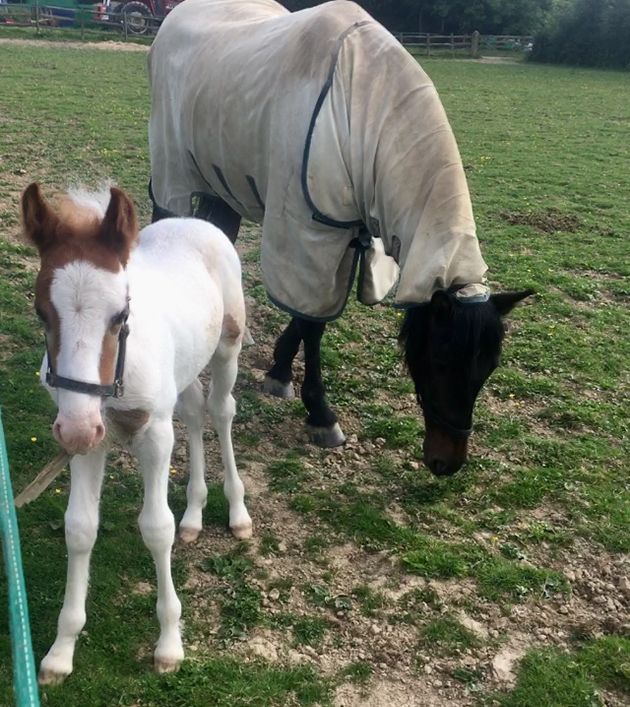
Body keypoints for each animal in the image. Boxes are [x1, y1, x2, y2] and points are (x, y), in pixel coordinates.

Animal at [21, 183, 252, 683]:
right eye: (41, 312)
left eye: (120, 313)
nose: (75, 429)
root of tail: (195, 221)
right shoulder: (88, 439)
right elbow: (79, 528)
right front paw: (60, 651)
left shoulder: (154, 437)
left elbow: (155, 527)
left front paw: (168, 644)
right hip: (181, 373)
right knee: (194, 411)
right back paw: (194, 516)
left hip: (227, 347)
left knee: (220, 412)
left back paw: (237, 512)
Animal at [148, 0, 534, 476]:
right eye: (441, 359)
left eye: (489, 367)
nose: (447, 462)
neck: (361, 103)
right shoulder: (306, 233)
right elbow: (312, 324)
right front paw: (319, 414)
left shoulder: (348, 236)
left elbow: (307, 317)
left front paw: (279, 370)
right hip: (173, 175)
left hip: (224, 185)